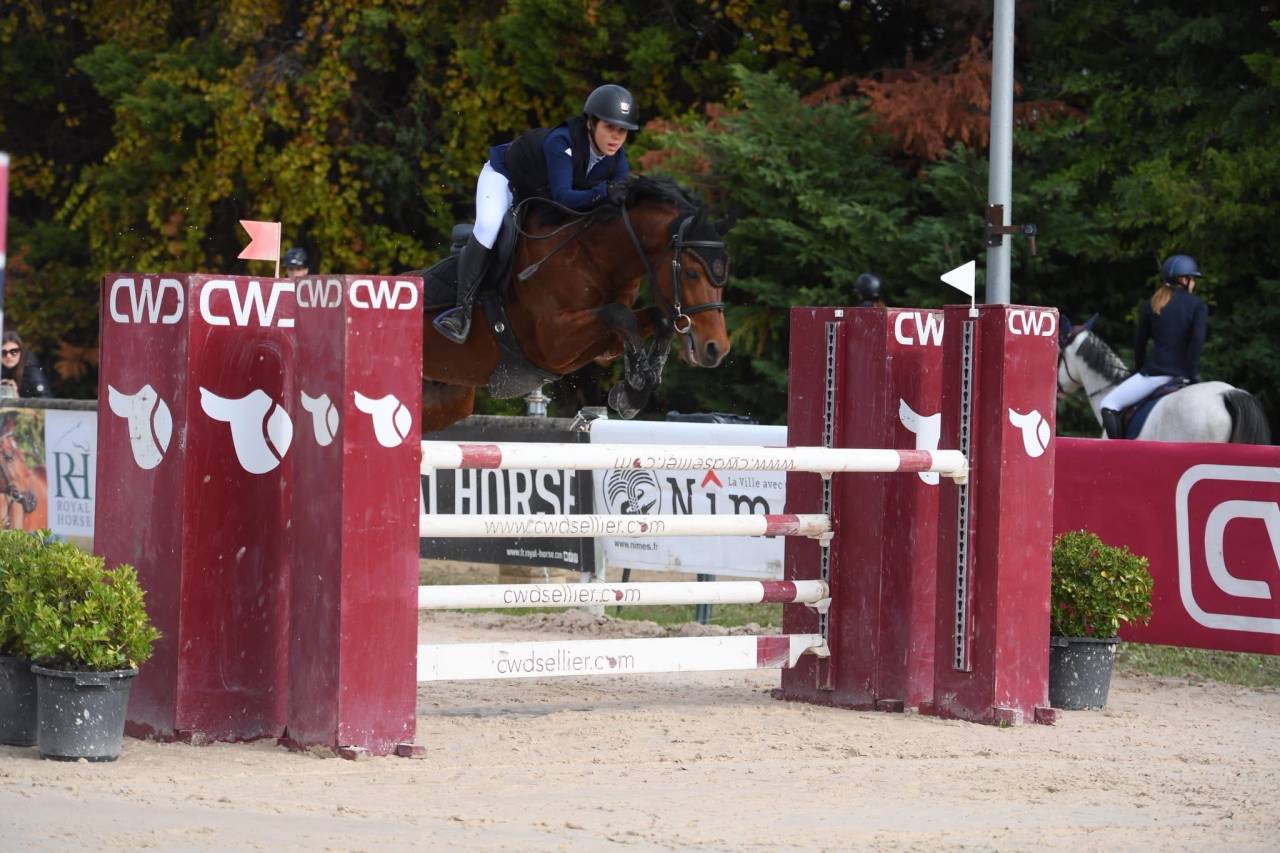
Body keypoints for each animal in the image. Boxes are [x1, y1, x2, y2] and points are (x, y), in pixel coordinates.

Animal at [412, 176, 733, 432]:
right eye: (692, 273)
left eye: (723, 275)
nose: (716, 348)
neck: (595, 257)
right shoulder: (552, 344)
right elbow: (620, 315)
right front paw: (634, 390)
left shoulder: (603, 347)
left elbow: (654, 318)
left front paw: (636, 387)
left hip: (443, 402)